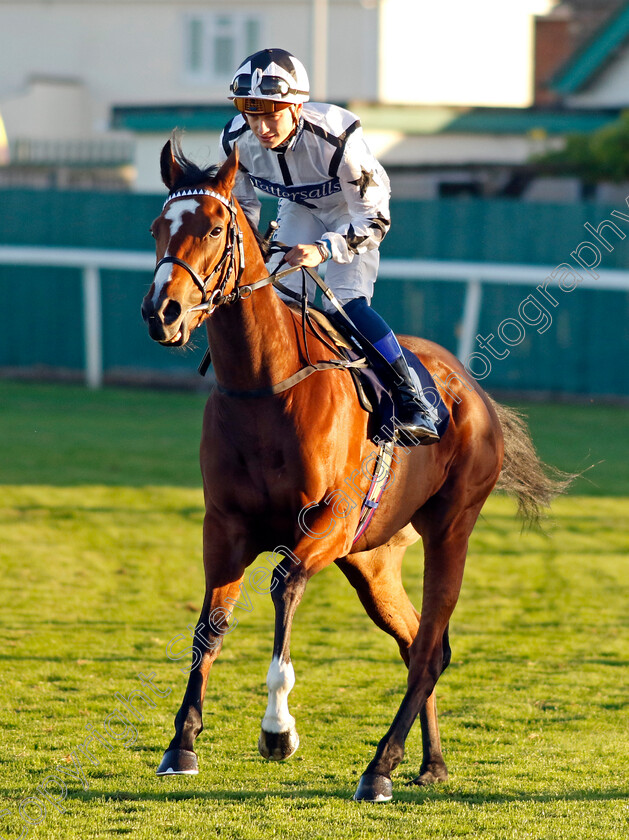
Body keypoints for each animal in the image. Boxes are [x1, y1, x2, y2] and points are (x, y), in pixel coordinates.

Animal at [142, 141, 568, 804]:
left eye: (213, 228)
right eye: (158, 229)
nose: (162, 312)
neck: (266, 387)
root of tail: (473, 393)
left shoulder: (328, 522)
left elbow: (284, 586)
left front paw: (278, 730)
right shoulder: (225, 526)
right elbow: (209, 626)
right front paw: (181, 743)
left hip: (450, 530)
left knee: (428, 648)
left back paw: (380, 767)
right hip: (372, 560)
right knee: (420, 641)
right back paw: (429, 762)